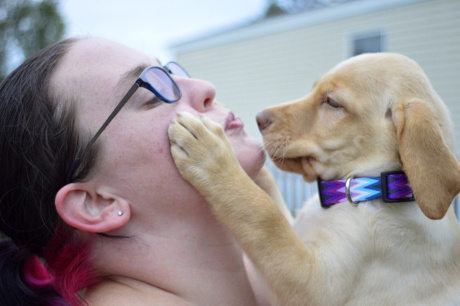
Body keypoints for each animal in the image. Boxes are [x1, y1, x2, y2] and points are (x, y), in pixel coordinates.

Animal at [168, 53, 460, 304]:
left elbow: (263, 216)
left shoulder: (312, 284)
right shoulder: (298, 235)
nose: (259, 119)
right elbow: (273, 206)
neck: (361, 188)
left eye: (332, 102)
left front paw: (212, 154)